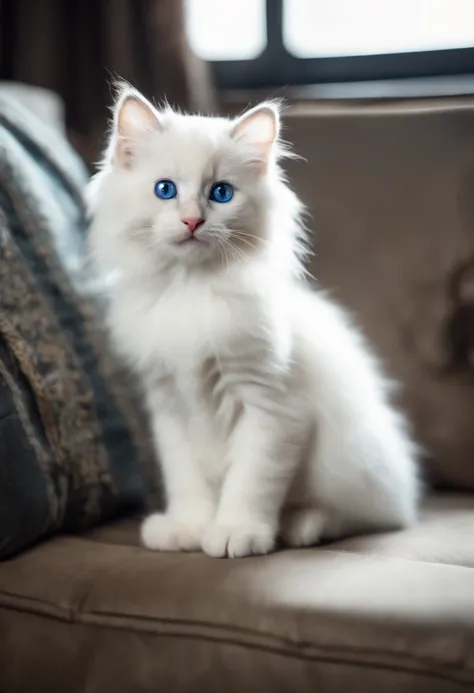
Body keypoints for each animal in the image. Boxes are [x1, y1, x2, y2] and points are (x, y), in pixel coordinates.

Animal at [88, 85, 418, 556]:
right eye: (165, 190)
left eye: (221, 193)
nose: (193, 220)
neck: (189, 291)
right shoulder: (169, 406)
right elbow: (185, 479)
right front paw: (188, 527)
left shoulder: (271, 407)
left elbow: (251, 481)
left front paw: (235, 533)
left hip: (348, 459)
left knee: (374, 515)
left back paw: (304, 525)